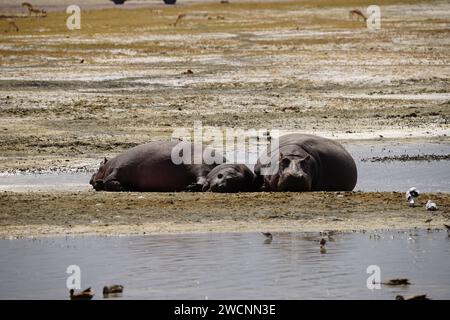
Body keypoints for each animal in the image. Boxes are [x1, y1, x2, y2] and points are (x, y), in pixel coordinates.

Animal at [90, 141, 227, 191]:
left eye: (99, 166)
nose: (91, 179)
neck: (108, 165)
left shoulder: (116, 169)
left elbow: (109, 180)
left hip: (198, 165)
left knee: (202, 179)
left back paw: (189, 188)